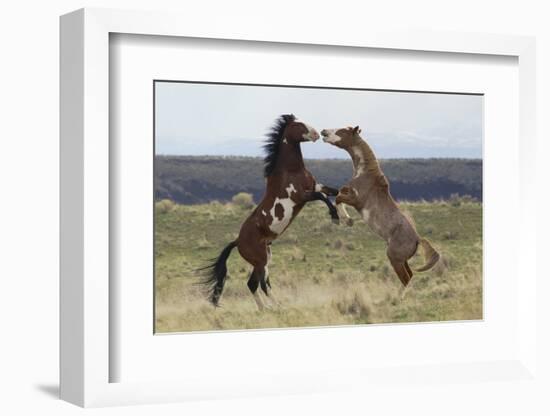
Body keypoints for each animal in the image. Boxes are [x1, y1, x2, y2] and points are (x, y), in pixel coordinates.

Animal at [201, 114, 342, 308]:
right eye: (298, 125)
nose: (316, 134)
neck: (291, 171)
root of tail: (237, 241)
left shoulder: (315, 186)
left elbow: (335, 191)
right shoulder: (303, 196)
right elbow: (323, 197)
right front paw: (335, 217)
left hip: (263, 259)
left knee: (253, 284)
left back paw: (266, 308)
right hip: (261, 260)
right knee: (261, 284)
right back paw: (277, 307)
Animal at [322, 127, 442, 288]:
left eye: (341, 131)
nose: (323, 132)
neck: (365, 173)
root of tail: (417, 239)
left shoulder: (357, 200)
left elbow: (338, 198)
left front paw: (348, 220)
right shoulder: (349, 192)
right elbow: (339, 193)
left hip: (394, 258)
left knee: (406, 279)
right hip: (402, 260)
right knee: (410, 276)